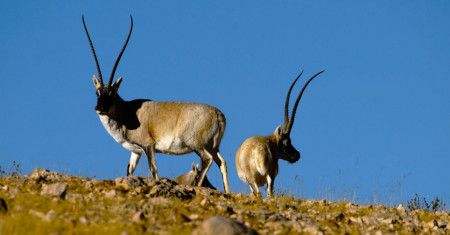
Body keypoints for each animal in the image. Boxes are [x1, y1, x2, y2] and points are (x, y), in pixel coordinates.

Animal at [83, 15, 230, 194]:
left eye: (112, 93)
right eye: (97, 93)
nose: (100, 108)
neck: (127, 111)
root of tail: (217, 114)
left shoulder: (148, 146)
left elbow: (154, 171)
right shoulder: (136, 151)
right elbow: (129, 171)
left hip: (196, 144)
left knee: (207, 160)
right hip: (213, 147)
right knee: (222, 162)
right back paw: (228, 192)